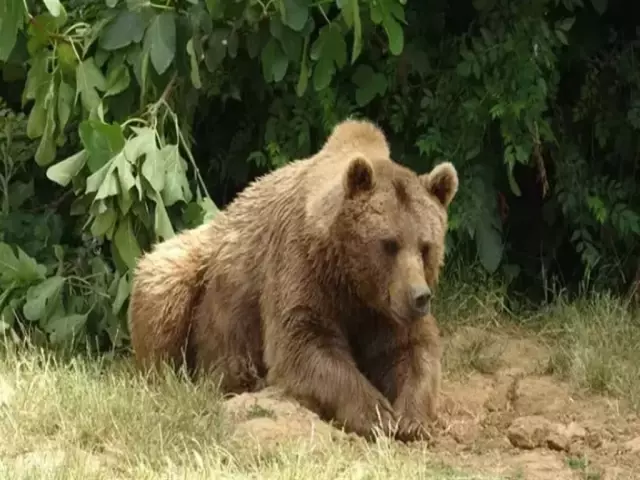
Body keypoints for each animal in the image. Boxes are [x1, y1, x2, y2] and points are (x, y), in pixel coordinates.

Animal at [127, 117, 458, 442]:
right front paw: (377, 415)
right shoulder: (301, 266)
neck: (352, 281)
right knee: (163, 288)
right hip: (195, 265)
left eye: (426, 246)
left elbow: (412, 349)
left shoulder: (383, 309)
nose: (419, 296)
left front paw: (411, 419)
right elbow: (303, 345)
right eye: (389, 244)